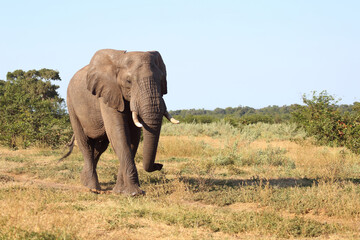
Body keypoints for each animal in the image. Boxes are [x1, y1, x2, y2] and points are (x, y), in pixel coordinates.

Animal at [63, 49, 180, 196]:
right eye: (129, 81)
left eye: (162, 79)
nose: (159, 165)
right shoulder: (107, 93)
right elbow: (119, 133)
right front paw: (134, 193)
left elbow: (133, 137)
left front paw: (120, 191)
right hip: (71, 105)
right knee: (85, 144)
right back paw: (93, 188)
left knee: (100, 147)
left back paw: (85, 181)